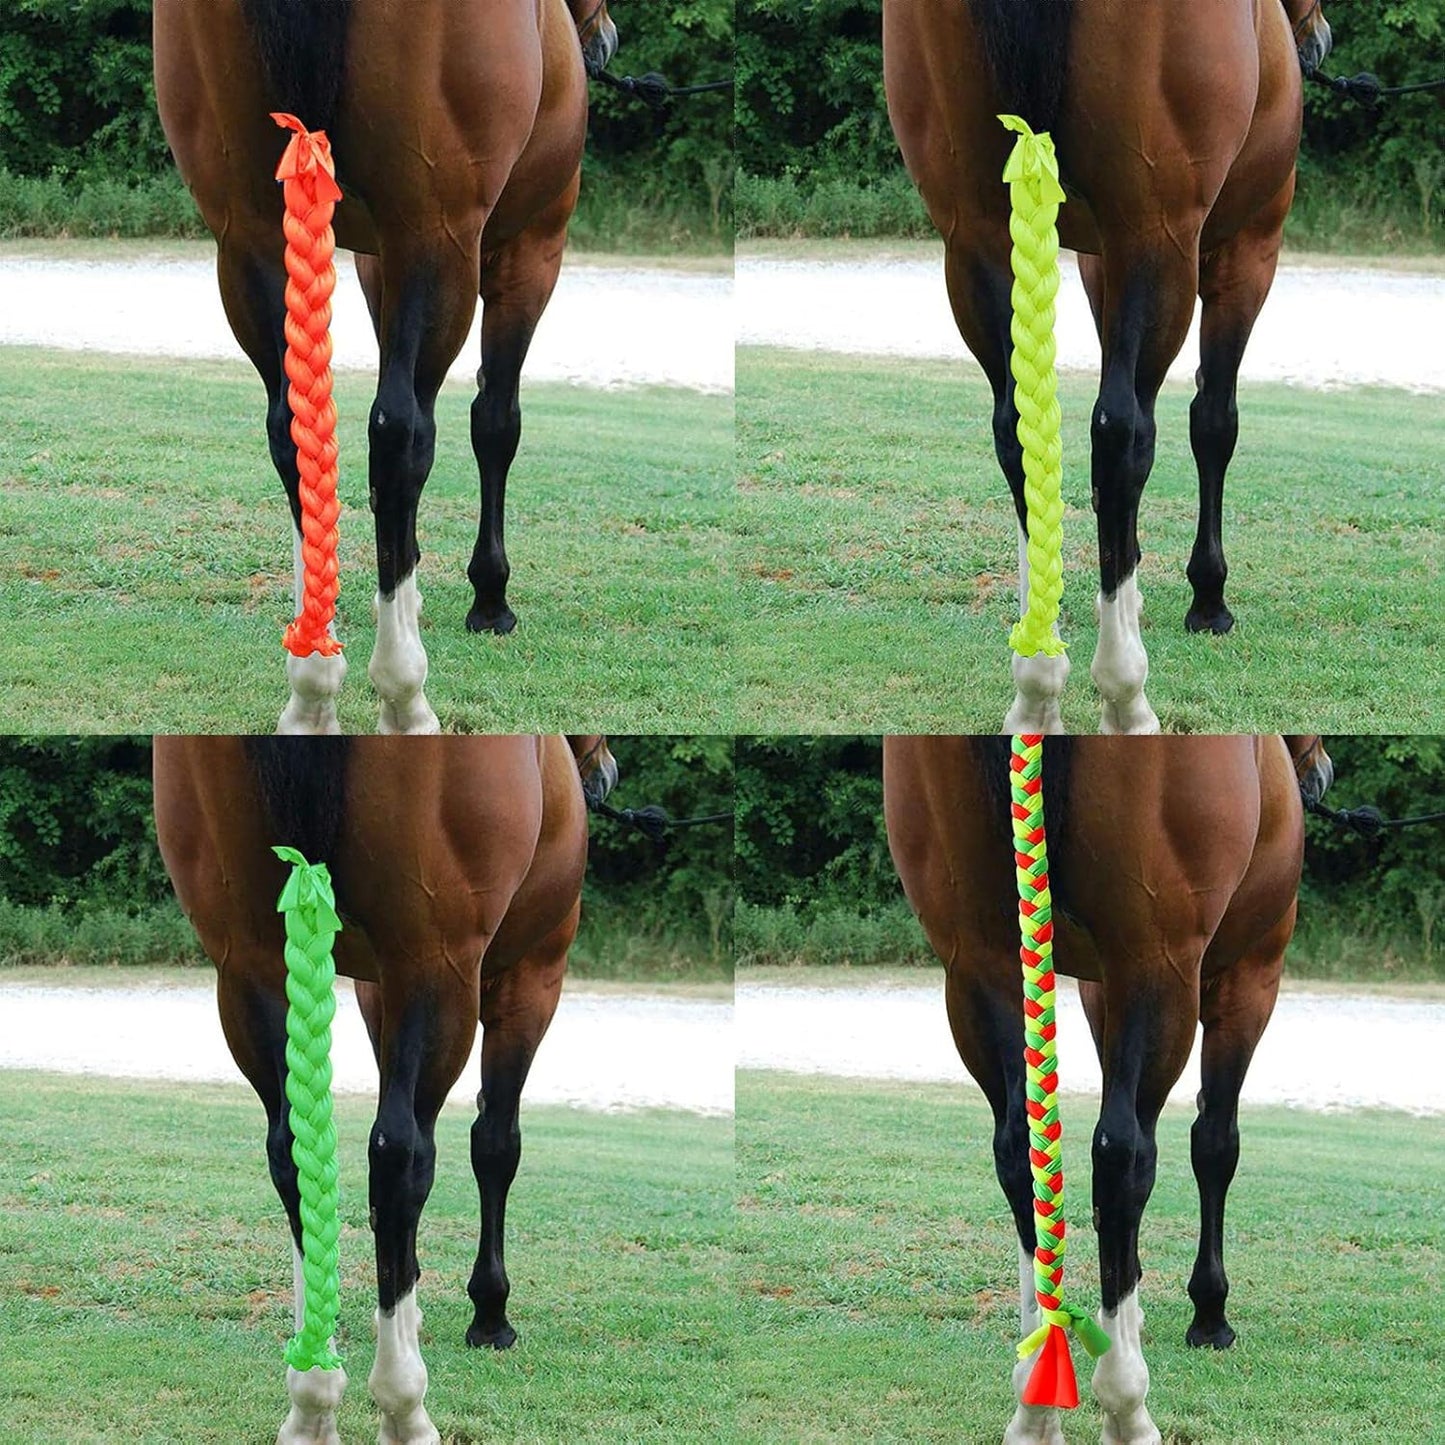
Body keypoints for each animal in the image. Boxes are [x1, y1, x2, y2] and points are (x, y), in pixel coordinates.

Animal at [153, 0, 618, 734]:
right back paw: (403, 692)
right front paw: (489, 596)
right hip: (437, 235)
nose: (602, 41)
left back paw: (312, 686)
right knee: (401, 435)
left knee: (294, 432)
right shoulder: (531, 249)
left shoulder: (372, 260)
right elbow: (495, 421)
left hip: (249, 237)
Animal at [153, 733, 603, 1444]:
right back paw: (403, 1401)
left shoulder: (373, 989)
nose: (603, 772)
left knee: (296, 1157)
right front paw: (489, 1313)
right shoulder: (529, 978)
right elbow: (494, 1144)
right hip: (436, 962)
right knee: (400, 1158)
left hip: (250, 965)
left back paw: (313, 1395)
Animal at [883, 0, 1334, 734]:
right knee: (1122, 435)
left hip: (976, 237)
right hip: (1156, 235)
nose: (1317, 39)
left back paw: (1037, 684)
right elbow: (1213, 422)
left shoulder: (1094, 260)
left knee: (1018, 434)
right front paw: (1207, 596)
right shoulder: (1245, 251)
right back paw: (1124, 694)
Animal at [883, 734, 1329, 1444]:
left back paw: (1036, 1401)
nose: (1319, 776)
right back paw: (1126, 1401)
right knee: (1124, 1156)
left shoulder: (1094, 987)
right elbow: (1214, 1143)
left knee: (1022, 1153)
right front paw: (1209, 1313)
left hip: (978, 964)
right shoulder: (1248, 979)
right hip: (1158, 964)